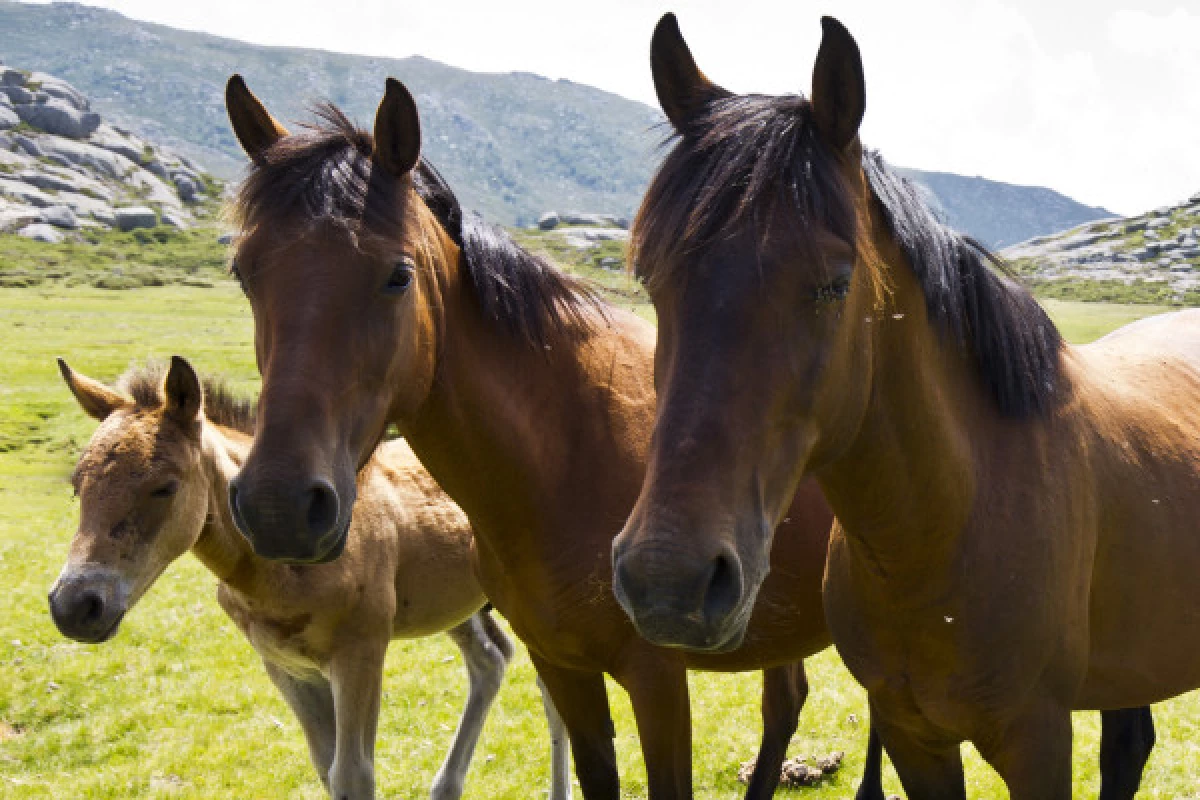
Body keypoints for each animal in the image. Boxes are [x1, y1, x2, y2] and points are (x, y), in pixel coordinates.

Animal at [48, 357, 571, 800]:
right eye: (78, 484)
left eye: (165, 487)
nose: (74, 605)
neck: (278, 570)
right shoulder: (285, 666)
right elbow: (326, 768)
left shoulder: (360, 654)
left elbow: (353, 773)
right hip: (457, 606)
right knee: (490, 660)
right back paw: (445, 787)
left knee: (551, 690)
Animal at [218, 76, 892, 800]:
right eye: (244, 273)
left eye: (397, 274)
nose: (280, 507)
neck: (563, 455)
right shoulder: (563, 668)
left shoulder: (657, 680)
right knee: (786, 701)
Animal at [614, 12, 1195, 800]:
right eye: (651, 277)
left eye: (834, 283)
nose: (666, 582)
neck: (946, 526)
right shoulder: (911, 737)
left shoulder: (1038, 741)